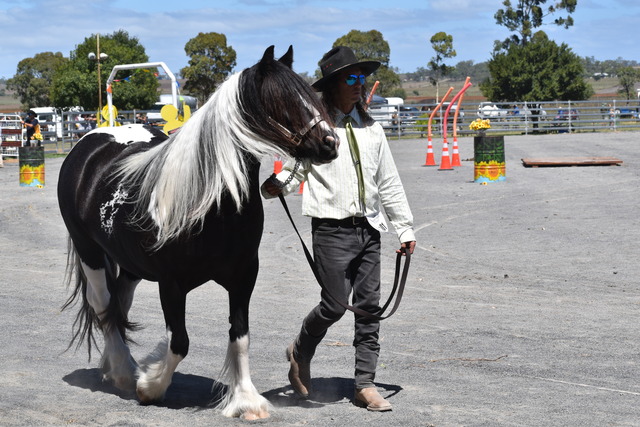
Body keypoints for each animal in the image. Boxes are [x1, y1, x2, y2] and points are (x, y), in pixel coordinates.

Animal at [57, 45, 339, 420]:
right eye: (282, 100)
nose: (331, 143)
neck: (211, 200)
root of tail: (90, 144)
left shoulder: (243, 276)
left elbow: (240, 336)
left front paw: (246, 400)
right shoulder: (171, 283)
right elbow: (179, 342)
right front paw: (150, 386)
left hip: (129, 264)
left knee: (119, 305)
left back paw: (118, 366)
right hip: (88, 250)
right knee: (103, 304)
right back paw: (123, 373)